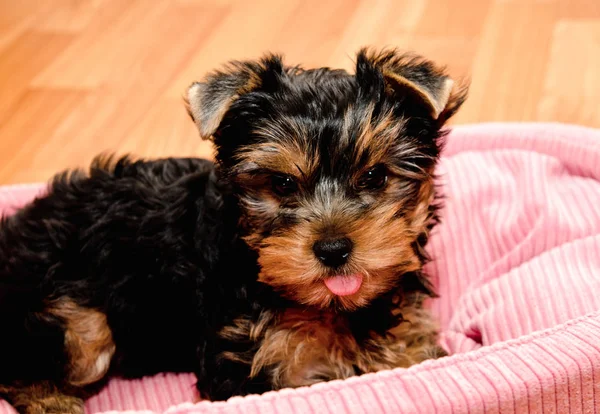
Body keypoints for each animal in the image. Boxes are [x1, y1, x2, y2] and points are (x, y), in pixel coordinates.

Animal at [0, 47, 466, 410]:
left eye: (374, 176)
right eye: (282, 184)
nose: (333, 249)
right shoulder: (244, 361)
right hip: (69, 318)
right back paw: (54, 403)